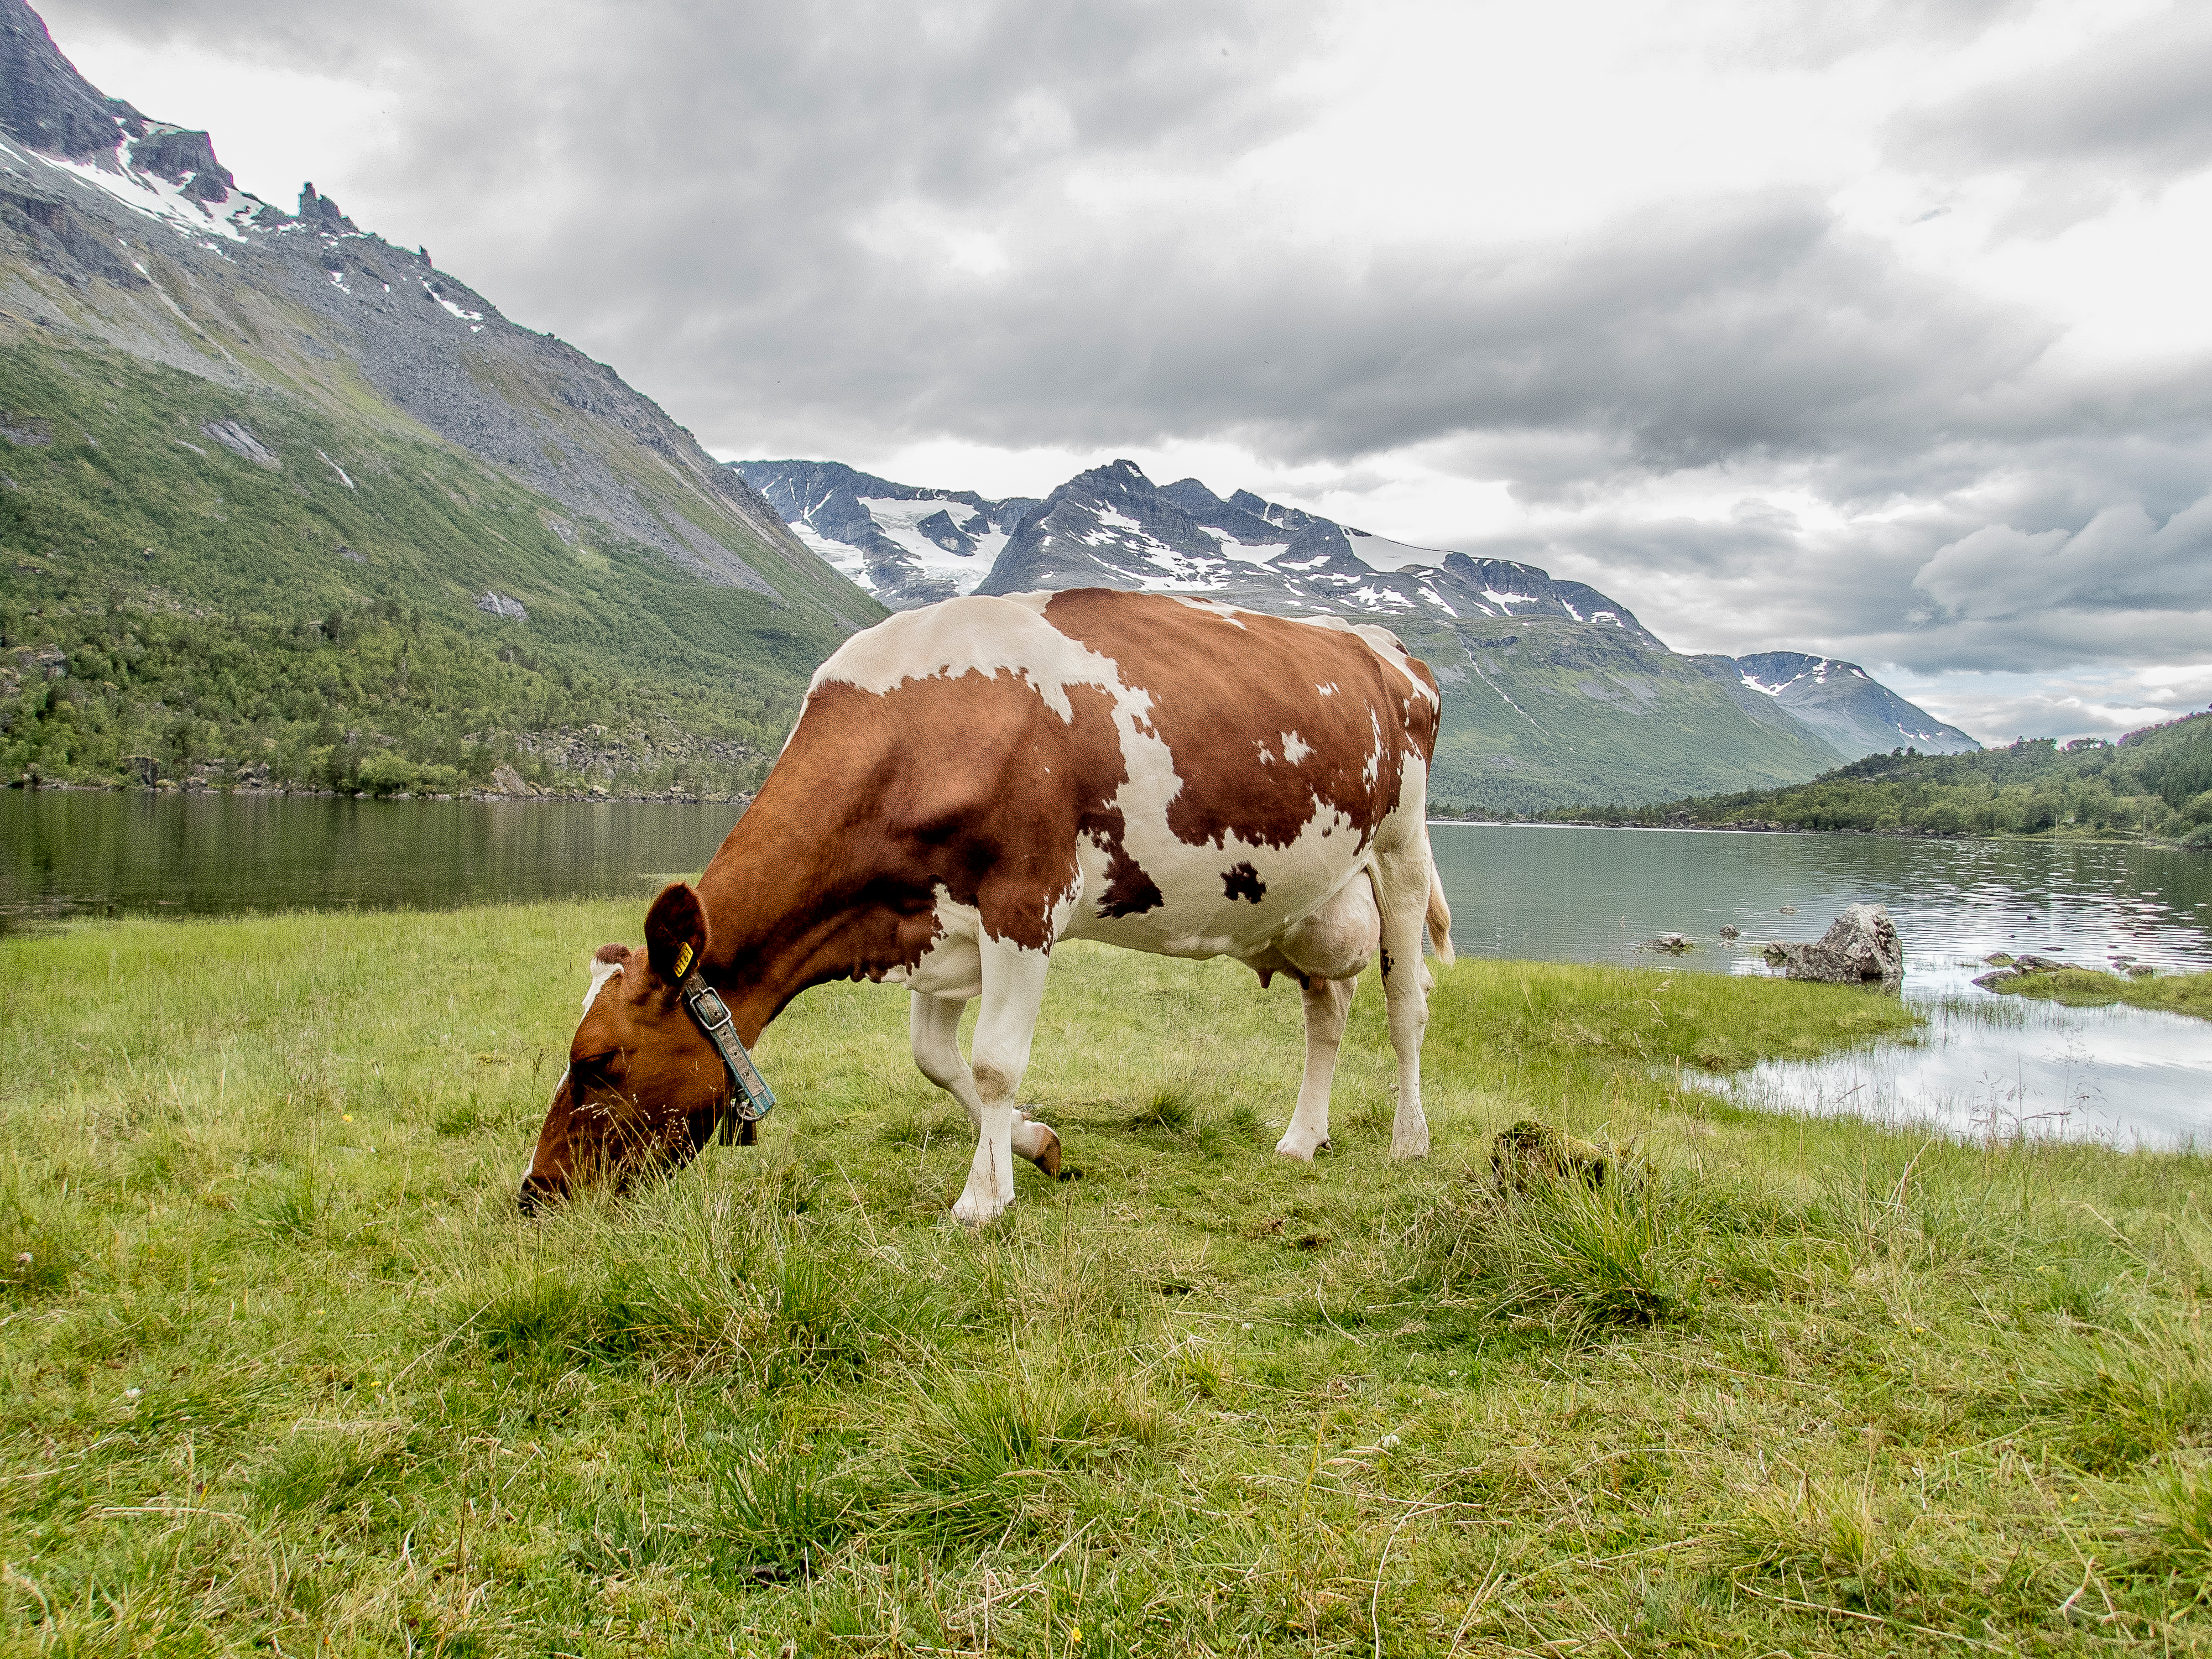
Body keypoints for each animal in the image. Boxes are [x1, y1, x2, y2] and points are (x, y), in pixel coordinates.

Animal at [521, 586, 1455, 1226]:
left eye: (597, 1060)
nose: (534, 1192)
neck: (922, 732)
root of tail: (1383, 646)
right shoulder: (932, 922)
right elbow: (940, 1062)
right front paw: (1031, 1149)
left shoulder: (1024, 902)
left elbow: (997, 1061)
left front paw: (980, 1199)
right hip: (1311, 898)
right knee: (1328, 1007)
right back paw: (1302, 1138)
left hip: (1402, 848)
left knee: (1405, 1004)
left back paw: (1410, 1141)